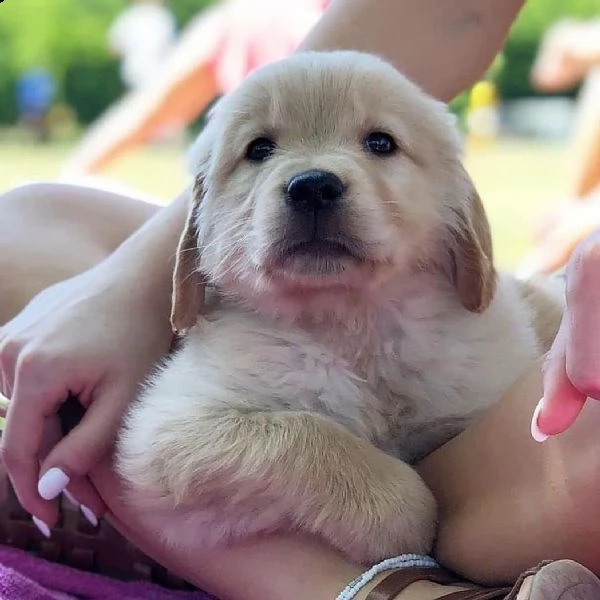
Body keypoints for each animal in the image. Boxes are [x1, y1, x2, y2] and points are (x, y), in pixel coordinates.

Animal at [115, 50, 564, 564]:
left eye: (381, 143)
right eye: (259, 149)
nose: (312, 186)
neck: (351, 323)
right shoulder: (167, 433)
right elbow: (304, 434)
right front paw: (404, 515)